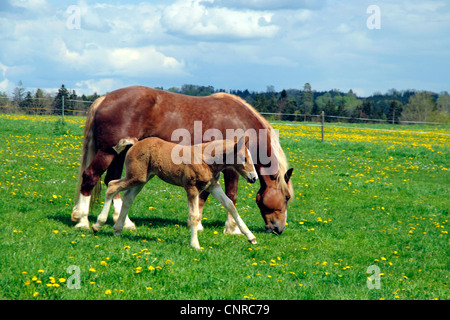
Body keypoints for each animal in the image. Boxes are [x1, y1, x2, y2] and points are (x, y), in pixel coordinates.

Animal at [72, 85, 294, 235]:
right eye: (286, 197)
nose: (279, 228)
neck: (241, 122)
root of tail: (105, 98)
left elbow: (204, 196)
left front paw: (198, 224)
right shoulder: (231, 169)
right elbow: (231, 196)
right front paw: (232, 229)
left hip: (120, 154)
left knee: (112, 181)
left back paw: (124, 222)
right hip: (107, 152)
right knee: (91, 176)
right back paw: (82, 220)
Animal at [92, 136, 256, 249]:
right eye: (244, 158)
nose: (254, 178)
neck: (207, 159)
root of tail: (136, 142)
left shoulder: (213, 186)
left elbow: (230, 206)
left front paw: (251, 237)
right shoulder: (191, 188)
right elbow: (194, 215)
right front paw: (195, 244)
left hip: (143, 178)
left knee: (128, 198)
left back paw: (117, 230)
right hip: (136, 176)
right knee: (112, 186)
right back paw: (98, 224)